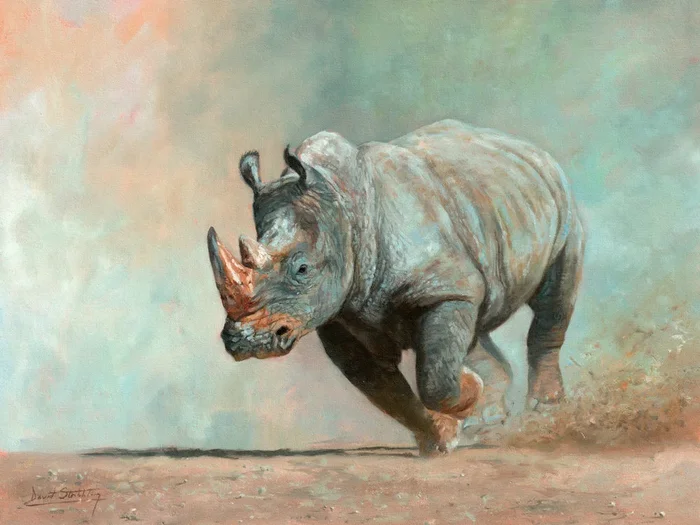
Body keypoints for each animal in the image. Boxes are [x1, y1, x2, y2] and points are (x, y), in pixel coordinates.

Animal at [207, 119, 585, 456]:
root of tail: (528, 148)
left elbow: (433, 378)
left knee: (553, 300)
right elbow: (387, 391)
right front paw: (442, 436)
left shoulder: (444, 288)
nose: (246, 342)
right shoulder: (340, 315)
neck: (345, 210)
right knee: (476, 325)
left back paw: (544, 412)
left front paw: (468, 392)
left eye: (303, 269)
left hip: (562, 204)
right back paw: (487, 419)